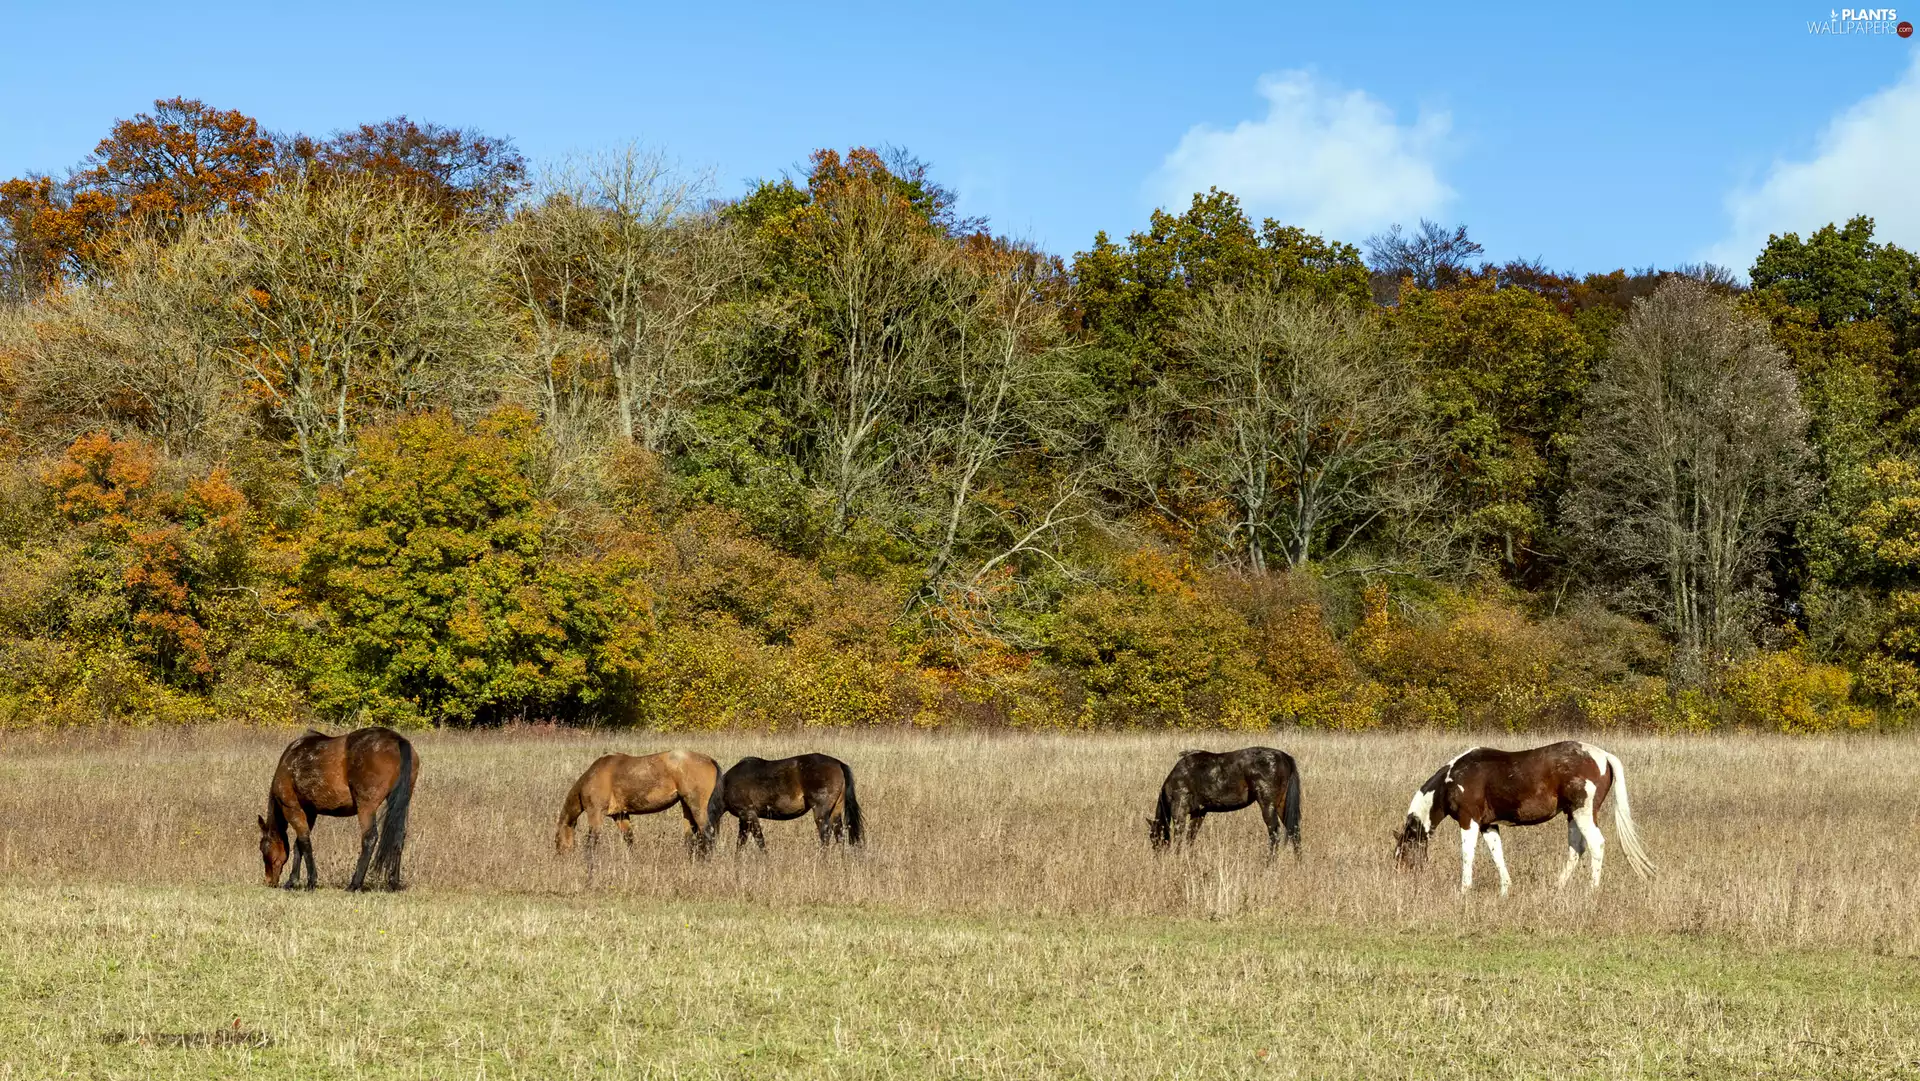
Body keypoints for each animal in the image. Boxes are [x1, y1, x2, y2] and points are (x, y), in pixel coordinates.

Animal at [258, 726, 418, 891]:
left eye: (263, 848)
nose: (269, 881)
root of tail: (397, 740)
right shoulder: (310, 813)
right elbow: (298, 845)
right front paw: (292, 881)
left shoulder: (292, 809)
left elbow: (304, 842)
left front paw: (310, 881)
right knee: (399, 837)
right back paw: (394, 882)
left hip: (366, 806)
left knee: (370, 838)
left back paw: (354, 884)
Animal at [555, 750, 725, 858]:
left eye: (557, 840)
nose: (560, 858)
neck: (593, 775)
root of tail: (709, 760)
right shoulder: (620, 815)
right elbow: (629, 839)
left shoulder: (595, 813)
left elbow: (592, 841)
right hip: (687, 806)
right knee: (691, 837)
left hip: (697, 807)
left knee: (707, 834)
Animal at [721, 754, 864, 850]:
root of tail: (838, 763)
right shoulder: (744, 818)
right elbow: (741, 841)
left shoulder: (748, 814)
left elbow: (758, 839)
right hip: (836, 811)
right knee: (839, 835)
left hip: (820, 812)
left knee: (825, 835)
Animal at [1148, 747, 1302, 858]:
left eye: (1154, 837)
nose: (1157, 857)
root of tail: (1284, 757)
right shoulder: (1199, 813)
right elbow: (1190, 837)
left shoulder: (1179, 810)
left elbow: (1179, 836)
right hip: (1282, 805)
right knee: (1294, 831)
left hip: (1268, 805)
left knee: (1274, 833)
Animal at [1393, 740, 1655, 895]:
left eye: (1403, 853)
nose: (1401, 881)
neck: (1452, 780)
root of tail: (1603, 755)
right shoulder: (1489, 825)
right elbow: (1497, 855)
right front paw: (1505, 890)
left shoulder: (1470, 821)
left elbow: (1467, 855)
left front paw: (1464, 890)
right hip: (1572, 815)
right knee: (1576, 849)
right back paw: (1557, 887)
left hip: (1583, 813)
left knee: (1596, 844)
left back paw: (1592, 890)